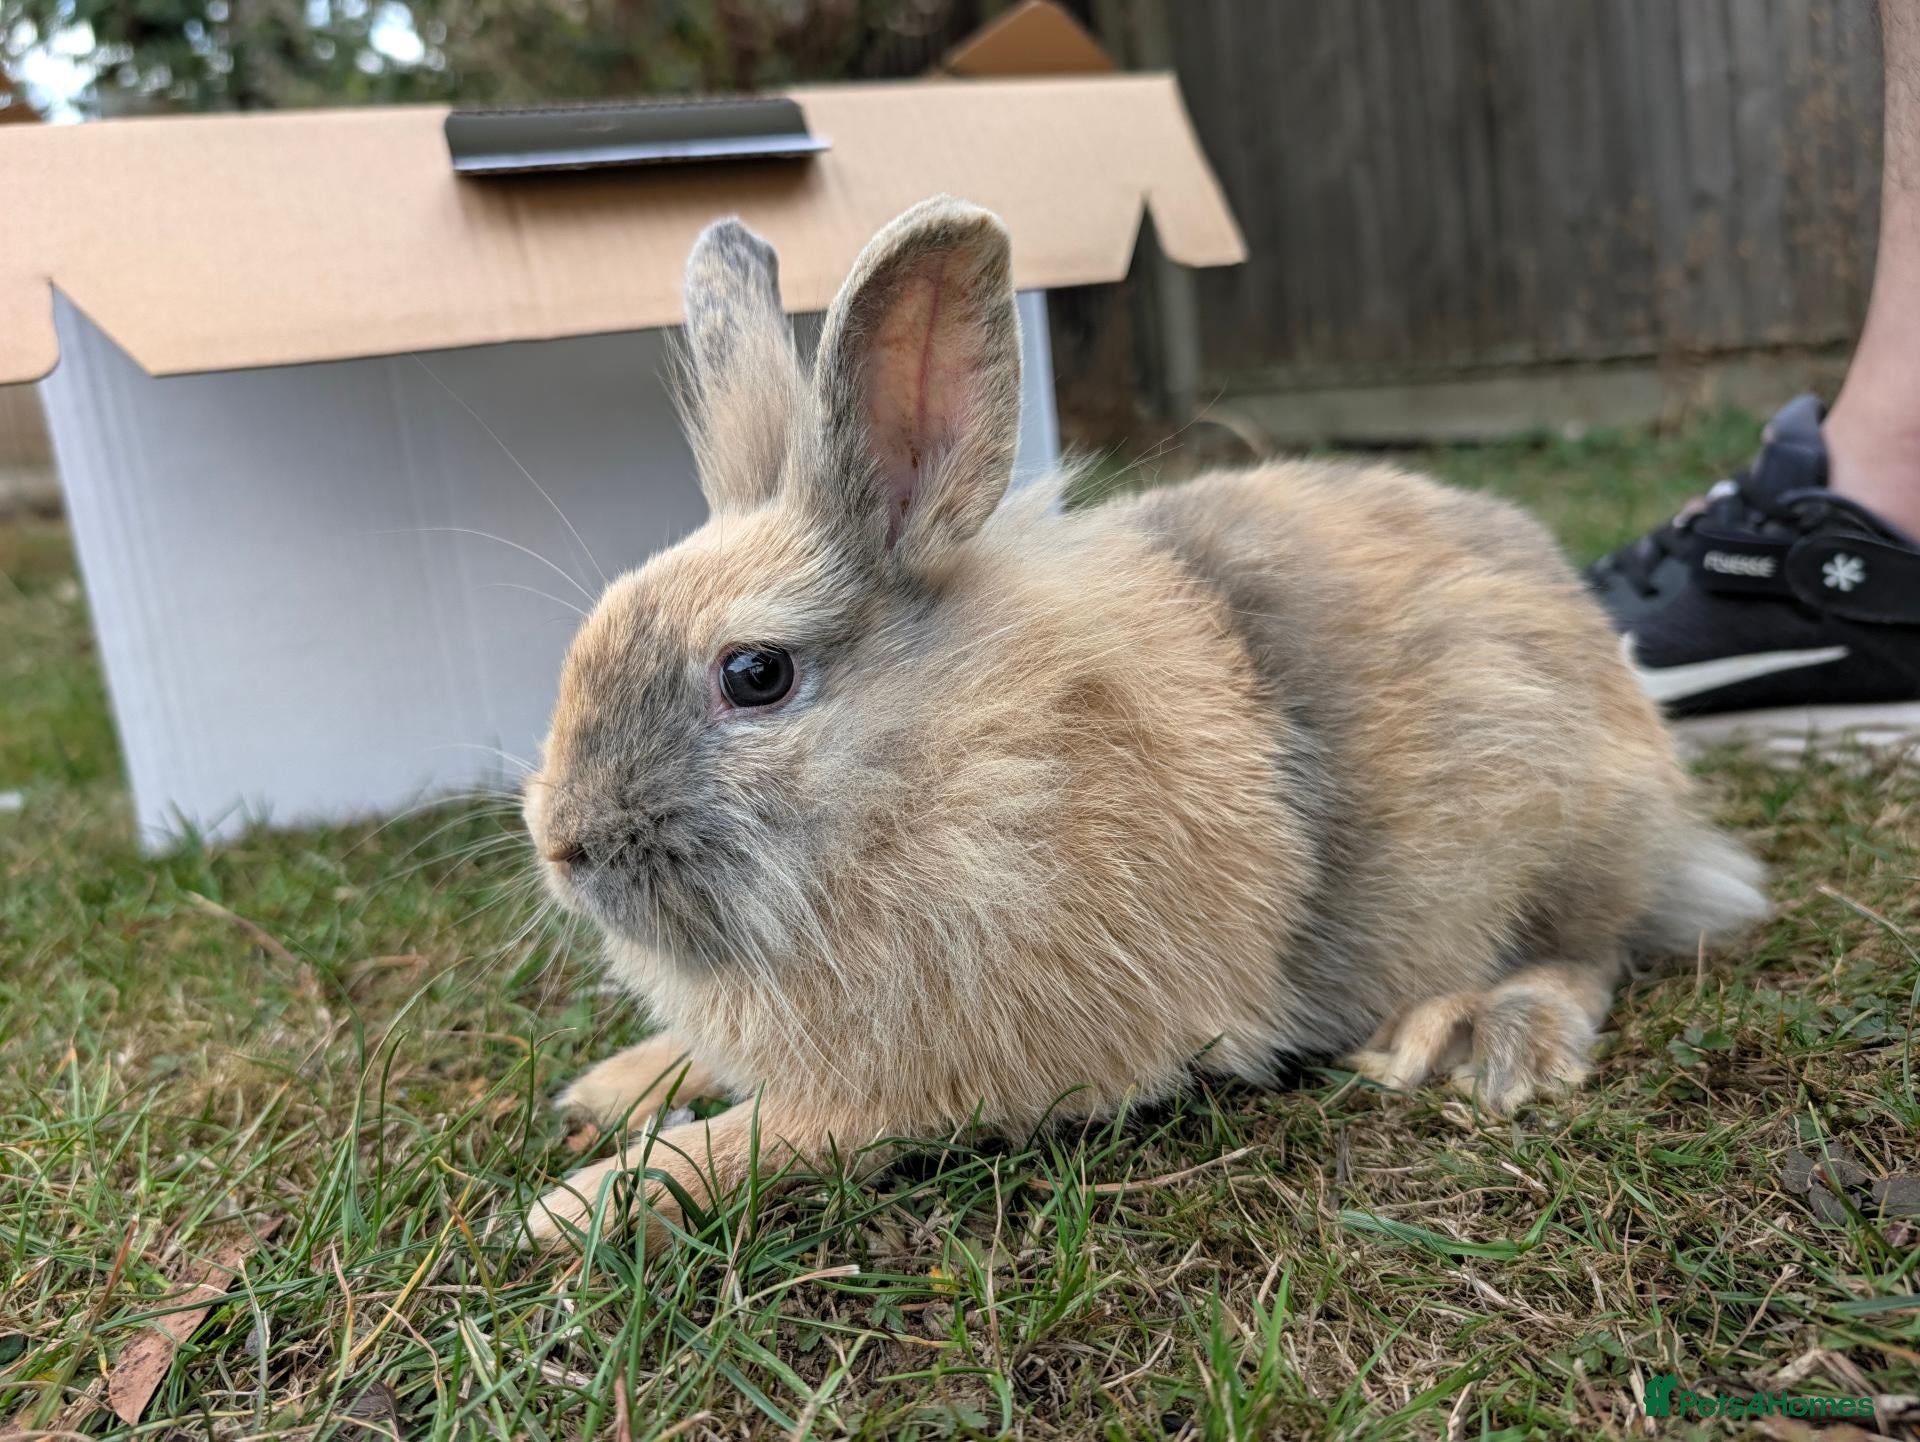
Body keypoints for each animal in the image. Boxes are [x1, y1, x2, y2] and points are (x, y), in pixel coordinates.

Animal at [517, 195, 1767, 1248]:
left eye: (755, 673)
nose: (562, 845)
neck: (948, 761)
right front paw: (605, 1091)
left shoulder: (921, 1077)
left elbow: (784, 1130)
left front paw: (582, 1205)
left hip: (1563, 842)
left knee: (1589, 955)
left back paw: (1482, 1037)